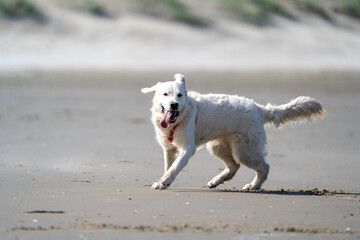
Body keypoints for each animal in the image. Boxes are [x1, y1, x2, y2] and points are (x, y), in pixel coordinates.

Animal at [142, 74, 324, 190]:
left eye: (180, 95)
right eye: (165, 94)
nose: (174, 105)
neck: (177, 121)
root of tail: (258, 108)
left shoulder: (188, 148)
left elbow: (175, 167)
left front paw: (165, 182)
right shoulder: (169, 149)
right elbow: (168, 167)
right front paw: (163, 181)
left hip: (245, 150)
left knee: (264, 167)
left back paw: (253, 186)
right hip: (219, 146)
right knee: (233, 166)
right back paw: (216, 181)